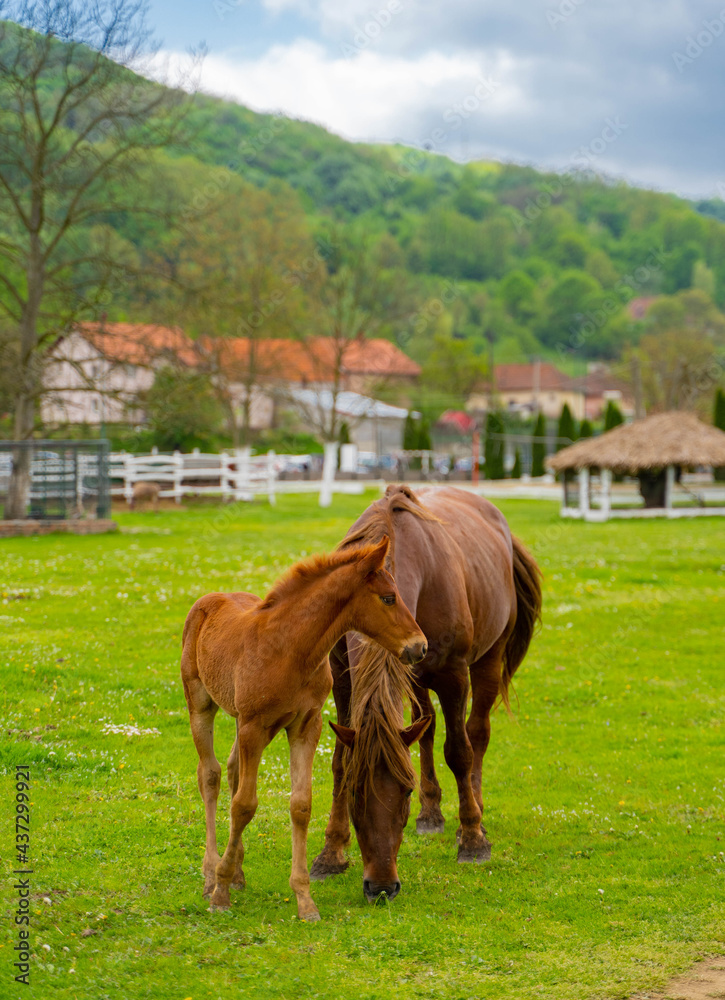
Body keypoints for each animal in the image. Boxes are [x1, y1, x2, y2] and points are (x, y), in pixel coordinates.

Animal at [180, 535, 427, 922]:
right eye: (389, 597)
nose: (419, 646)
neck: (290, 649)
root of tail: (209, 599)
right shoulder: (254, 726)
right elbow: (244, 805)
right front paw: (219, 894)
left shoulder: (305, 726)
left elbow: (300, 805)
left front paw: (305, 900)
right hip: (201, 704)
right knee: (211, 775)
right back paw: (210, 874)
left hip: (239, 719)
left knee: (233, 771)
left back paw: (236, 872)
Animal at [310, 484, 542, 902]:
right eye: (354, 794)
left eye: (404, 792)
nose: (381, 887)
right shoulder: (343, 679)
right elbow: (340, 762)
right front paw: (331, 853)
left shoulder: (453, 676)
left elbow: (460, 752)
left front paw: (472, 839)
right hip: (415, 678)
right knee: (426, 730)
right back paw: (431, 813)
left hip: (487, 659)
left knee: (476, 733)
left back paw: (474, 812)